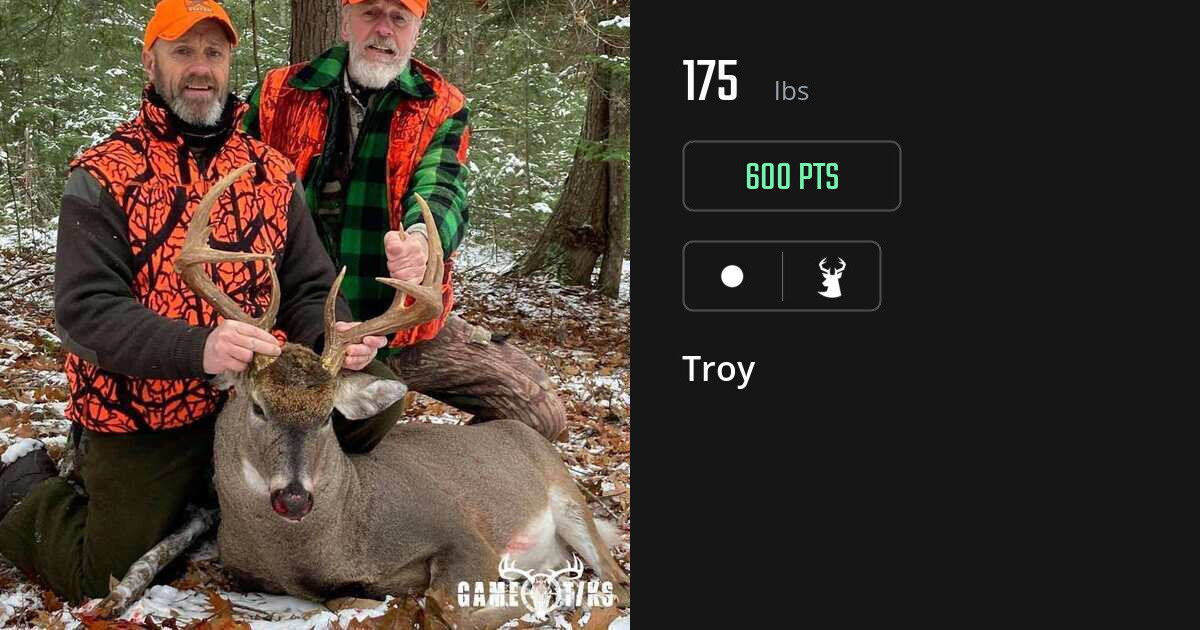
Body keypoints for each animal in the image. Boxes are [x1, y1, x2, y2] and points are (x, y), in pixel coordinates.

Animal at [171, 164, 628, 629]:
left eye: (327, 416)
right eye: (258, 407)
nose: (295, 498)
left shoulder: (461, 530)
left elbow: (444, 604)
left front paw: (532, 594)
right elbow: (351, 601)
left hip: (569, 498)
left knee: (615, 576)